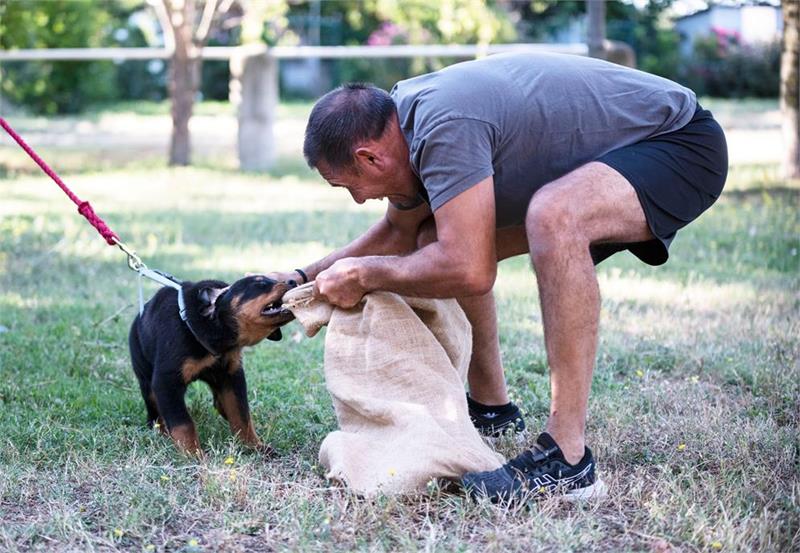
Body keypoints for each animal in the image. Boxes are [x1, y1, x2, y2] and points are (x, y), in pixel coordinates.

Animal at [128, 274, 294, 454]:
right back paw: (162, 431)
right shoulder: (166, 381)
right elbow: (182, 423)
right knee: (154, 412)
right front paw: (193, 454)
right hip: (146, 378)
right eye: (260, 283)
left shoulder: (231, 374)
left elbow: (241, 413)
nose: (293, 281)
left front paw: (253, 446)